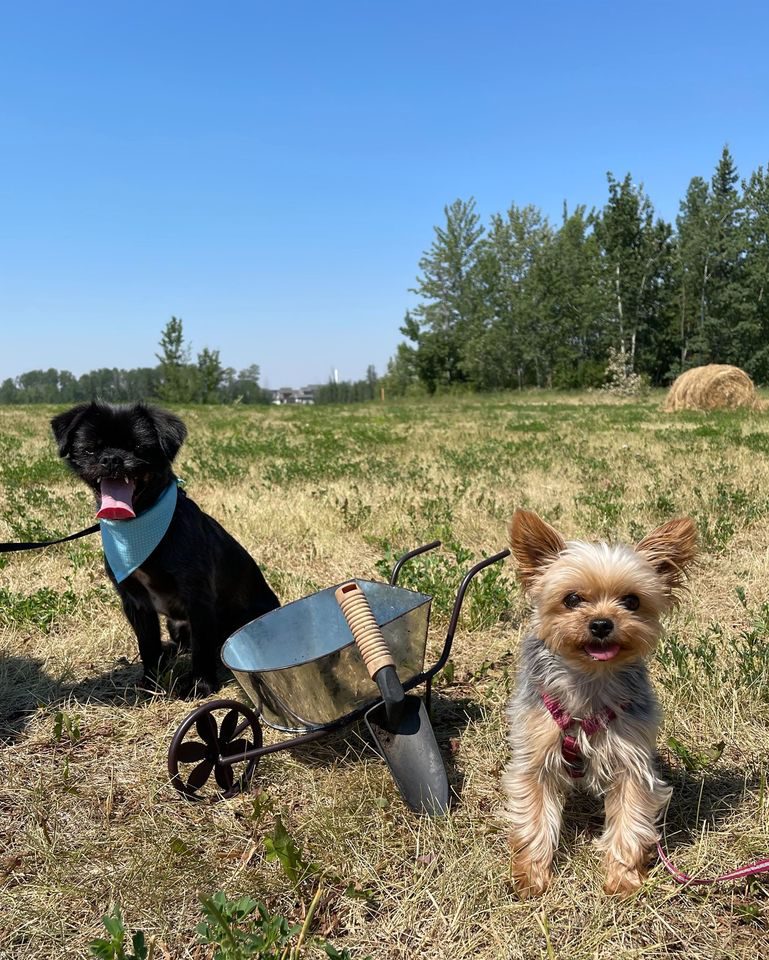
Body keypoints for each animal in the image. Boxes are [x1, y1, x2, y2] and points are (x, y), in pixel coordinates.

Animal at [51, 400, 280, 696]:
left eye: (139, 448)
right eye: (91, 448)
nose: (112, 459)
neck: (138, 526)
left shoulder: (198, 598)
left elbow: (202, 648)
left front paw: (201, 684)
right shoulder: (135, 601)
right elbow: (147, 645)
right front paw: (150, 683)